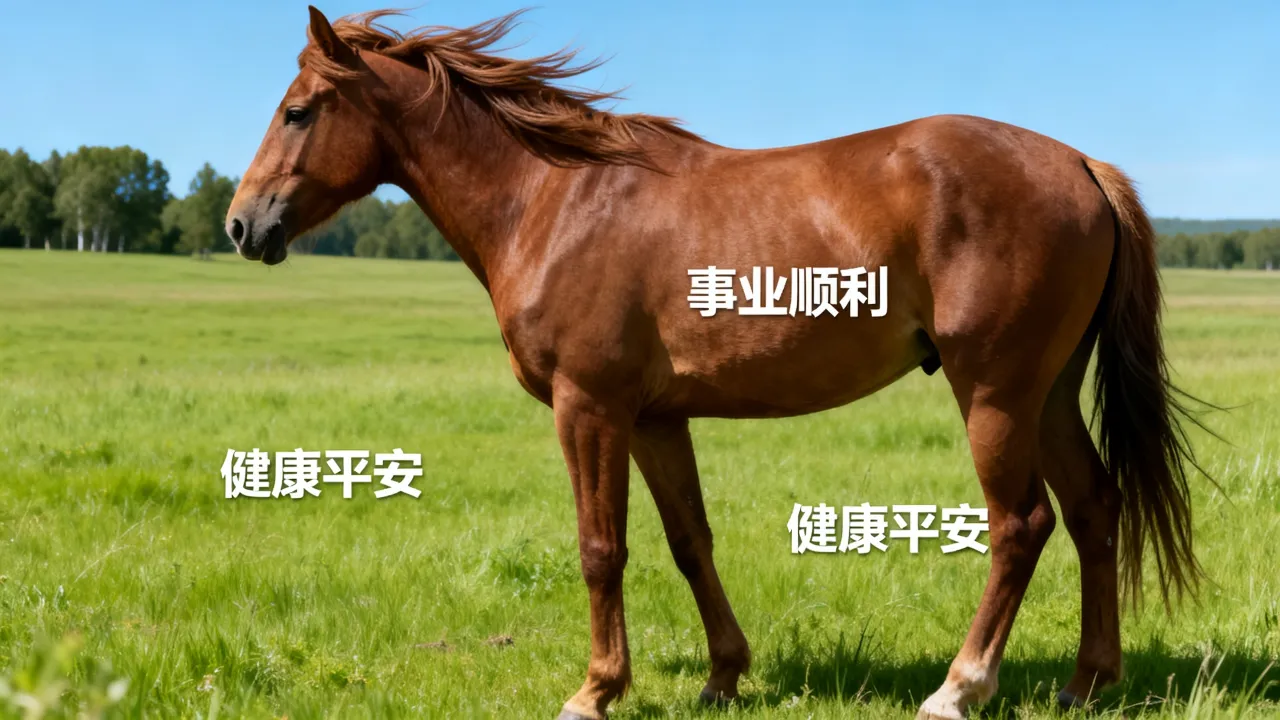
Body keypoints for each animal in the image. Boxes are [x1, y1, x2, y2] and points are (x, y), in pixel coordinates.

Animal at [225, 8, 1206, 719]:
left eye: (299, 110)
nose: (241, 224)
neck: (554, 199)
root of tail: (1080, 163)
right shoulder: (656, 418)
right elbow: (689, 541)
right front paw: (722, 675)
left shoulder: (588, 407)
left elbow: (600, 549)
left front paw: (595, 690)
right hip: (1047, 393)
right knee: (1093, 508)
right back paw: (1086, 682)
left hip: (994, 392)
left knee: (1020, 526)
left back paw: (959, 688)